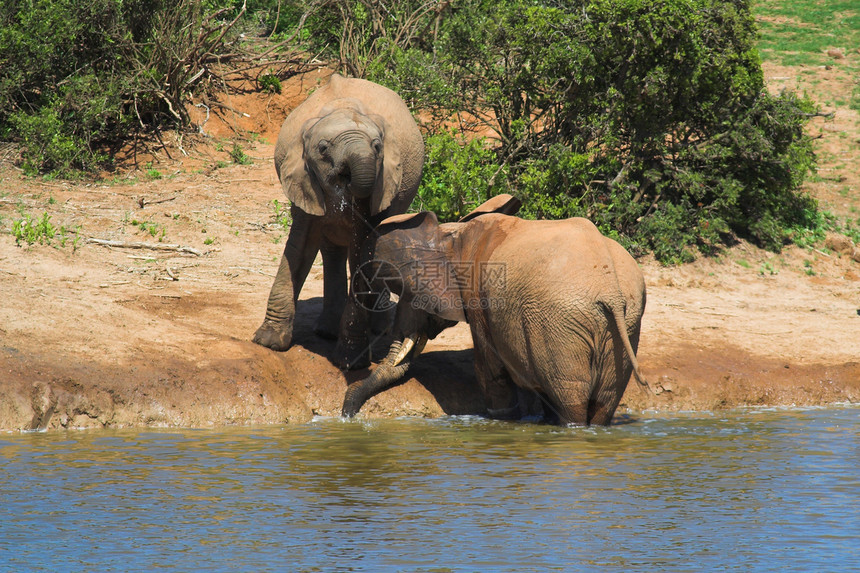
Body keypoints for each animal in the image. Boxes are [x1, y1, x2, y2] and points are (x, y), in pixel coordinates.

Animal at [252, 71, 426, 348]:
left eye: (377, 147)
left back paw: (377, 329)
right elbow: (299, 247)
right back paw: (327, 331)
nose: (346, 177)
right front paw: (268, 341)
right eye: (323, 149)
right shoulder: (304, 180)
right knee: (331, 249)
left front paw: (352, 348)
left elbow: (362, 253)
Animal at [340, 196, 648, 424]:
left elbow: (488, 369)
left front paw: (501, 420)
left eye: (411, 296)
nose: (347, 415)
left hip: (560, 324)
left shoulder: (480, 299)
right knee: (604, 400)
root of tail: (609, 289)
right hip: (624, 322)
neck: (452, 237)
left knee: (569, 397)